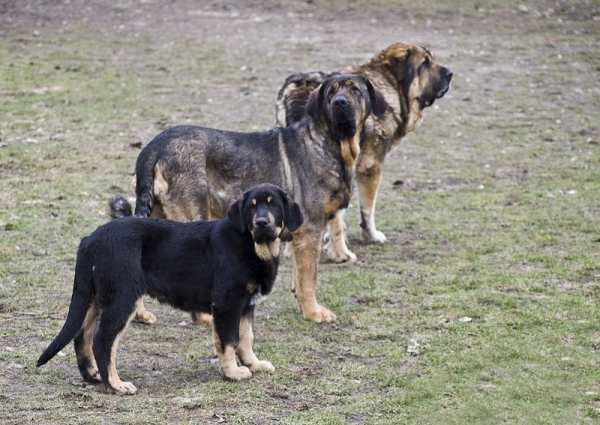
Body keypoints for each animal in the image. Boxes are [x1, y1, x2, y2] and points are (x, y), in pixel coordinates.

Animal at [36, 183, 304, 394]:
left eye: (273, 206)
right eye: (251, 207)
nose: (262, 222)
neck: (253, 244)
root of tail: (90, 240)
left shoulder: (246, 305)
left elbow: (246, 338)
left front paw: (253, 364)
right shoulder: (227, 303)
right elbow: (228, 341)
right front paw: (233, 373)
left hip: (97, 296)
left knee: (82, 336)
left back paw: (93, 375)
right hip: (122, 297)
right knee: (102, 341)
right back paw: (115, 385)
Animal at [129, 73, 386, 322]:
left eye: (355, 90)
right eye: (331, 92)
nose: (340, 102)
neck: (330, 144)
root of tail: (154, 146)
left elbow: (299, 278)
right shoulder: (310, 231)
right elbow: (308, 280)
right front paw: (314, 313)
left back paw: (140, 314)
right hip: (192, 217)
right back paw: (205, 317)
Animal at [274, 42, 452, 262]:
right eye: (425, 63)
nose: (450, 74)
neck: (388, 85)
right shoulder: (371, 167)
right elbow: (367, 209)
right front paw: (370, 236)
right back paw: (342, 254)